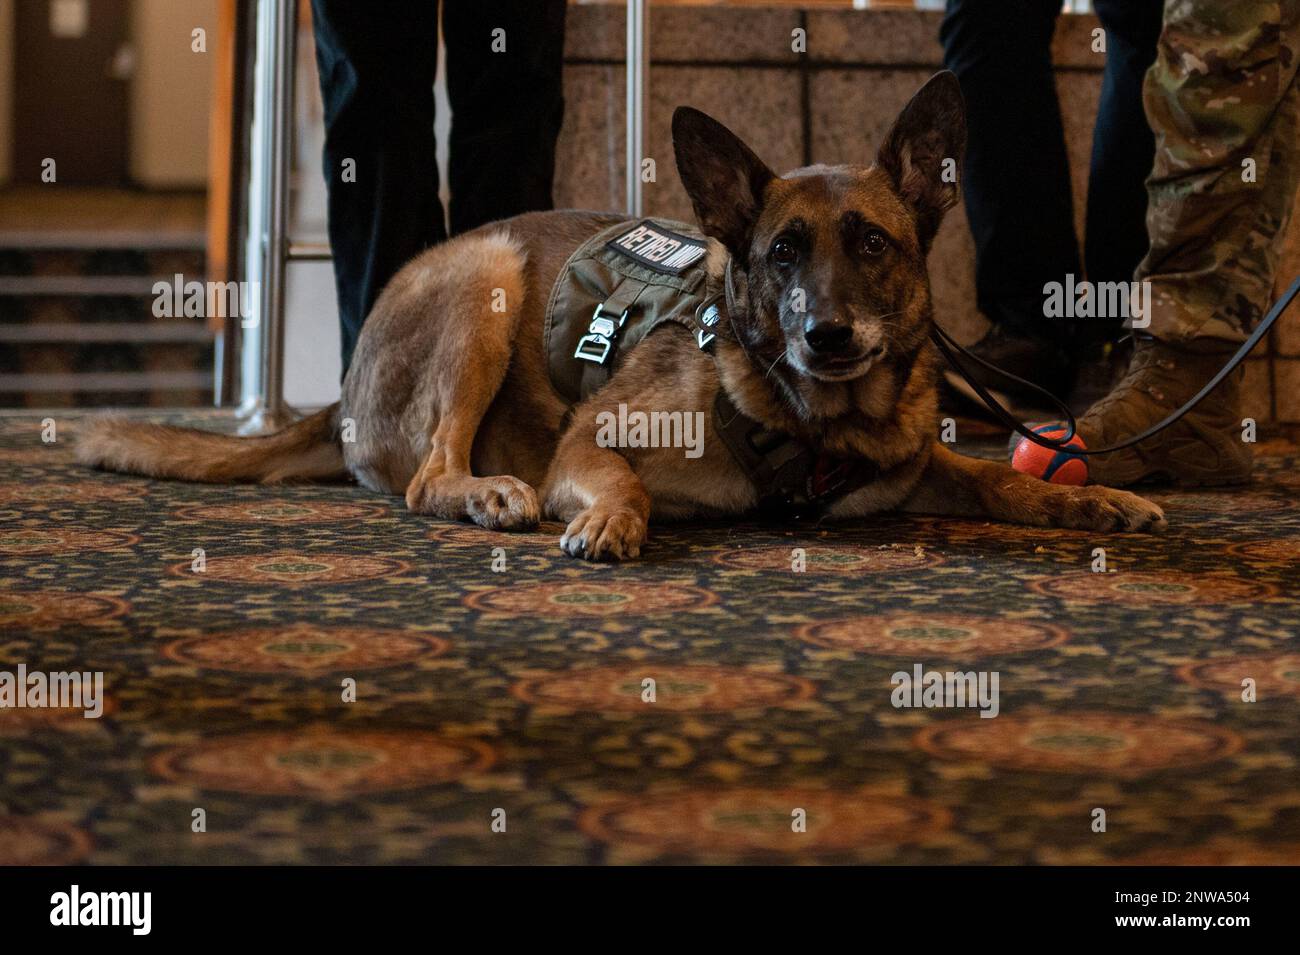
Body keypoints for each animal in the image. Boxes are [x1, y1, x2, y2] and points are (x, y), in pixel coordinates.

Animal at [76, 74, 1164, 561]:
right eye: (781, 253)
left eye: (871, 243)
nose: (827, 336)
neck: (813, 424)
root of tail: (338, 395)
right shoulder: (588, 439)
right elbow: (618, 478)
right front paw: (609, 515)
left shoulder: (918, 464)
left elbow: (1000, 479)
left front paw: (1092, 500)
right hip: (486, 273)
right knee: (426, 477)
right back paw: (488, 491)